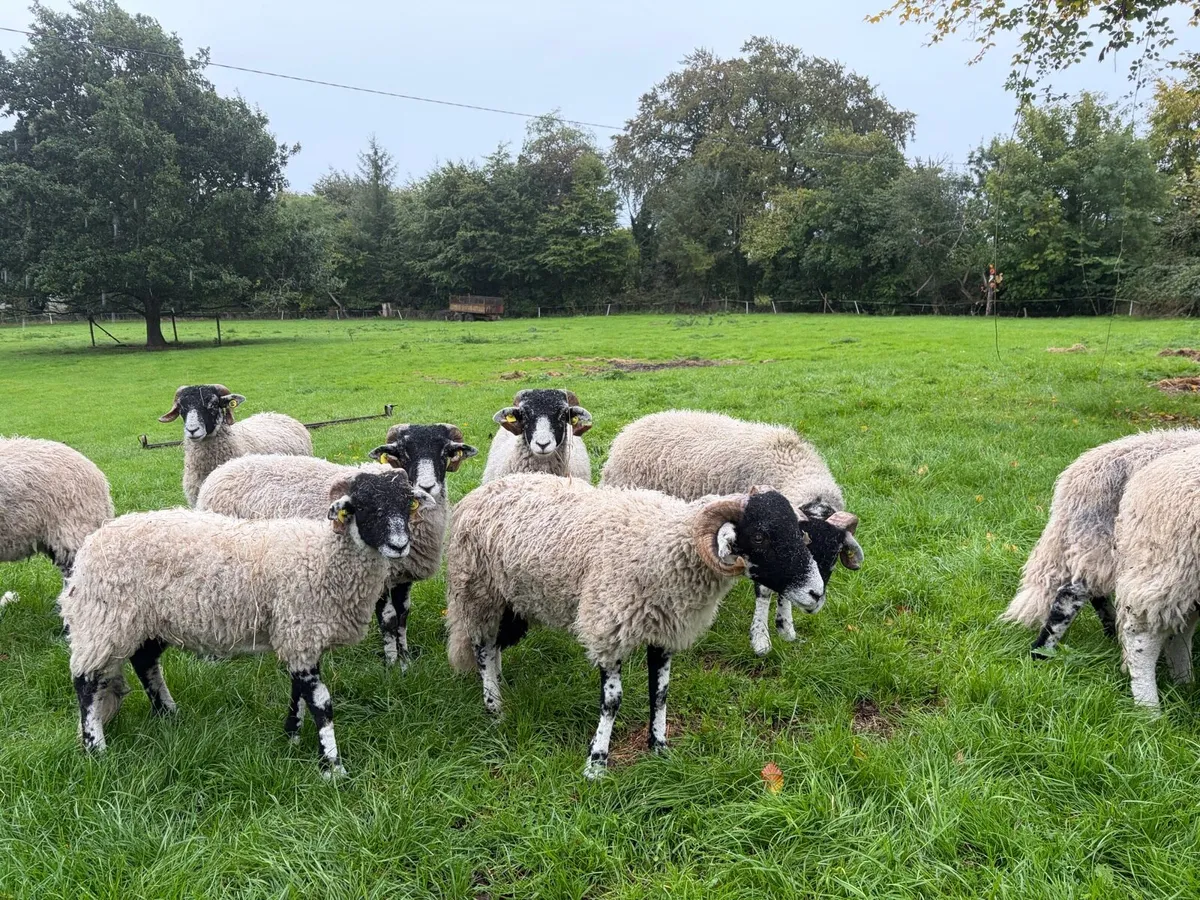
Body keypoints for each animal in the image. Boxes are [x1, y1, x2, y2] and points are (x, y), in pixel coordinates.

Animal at [60, 469, 433, 774]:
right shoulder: (301, 629)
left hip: (146, 621)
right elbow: (321, 702)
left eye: (407, 505)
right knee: (86, 683)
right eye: (365, 507)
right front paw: (332, 766)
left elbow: (298, 692)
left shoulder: (298, 636)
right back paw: (95, 748)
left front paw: (291, 736)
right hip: (105, 620)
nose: (399, 545)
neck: (324, 556)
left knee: (145, 662)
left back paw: (168, 714)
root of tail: (91, 544)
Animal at [195, 423, 478, 668]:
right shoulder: (379, 573)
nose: (427, 486)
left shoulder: (402, 575)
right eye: (403, 451)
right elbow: (388, 619)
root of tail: (220, 471)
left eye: (446, 451)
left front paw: (406, 659)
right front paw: (392, 664)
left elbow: (403, 616)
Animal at [445, 474, 827, 778]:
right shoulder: (607, 627)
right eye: (761, 536)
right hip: (478, 591)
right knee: (482, 648)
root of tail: (482, 490)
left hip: (506, 599)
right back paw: (494, 705)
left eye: (798, 531)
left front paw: (659, 747)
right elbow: (613, 701)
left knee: (494, 645)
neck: (664, 544)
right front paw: (596, 762)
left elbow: (660, 693)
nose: (817, 593)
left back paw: (500, 686)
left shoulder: (663, 630)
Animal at [599, 410, 863, 656]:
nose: (815, 599)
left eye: (834, 554)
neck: (789, 462)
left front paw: (786, 626)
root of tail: (633, 426)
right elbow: (765, 591)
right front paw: (760, 639)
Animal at [1001, 429, 1200, 658]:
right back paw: (1042, 651)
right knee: (1072, 593)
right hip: (1118, 544)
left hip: (1099, 543)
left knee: (1093, 591)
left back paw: (1110, 631)